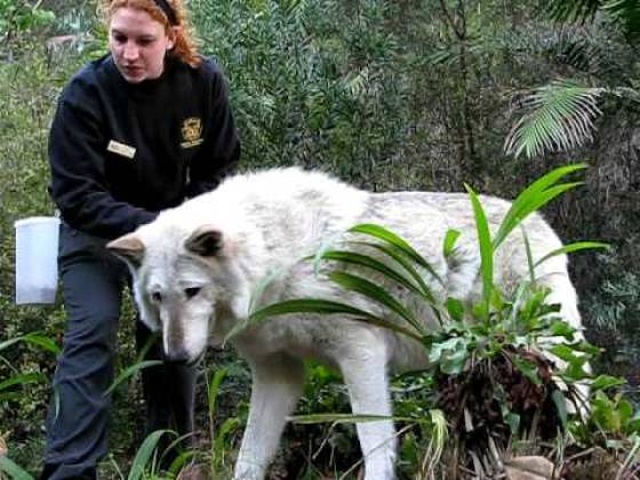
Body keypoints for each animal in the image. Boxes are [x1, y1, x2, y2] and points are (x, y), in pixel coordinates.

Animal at [105, 167, 584, 478]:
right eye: (158, 297)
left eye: (192, 291)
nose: (175, 356)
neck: (276, 254)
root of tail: (540, 221)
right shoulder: (279, 373)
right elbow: (249, 457)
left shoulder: (361, 352)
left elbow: (375, 443)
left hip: (545, 353)